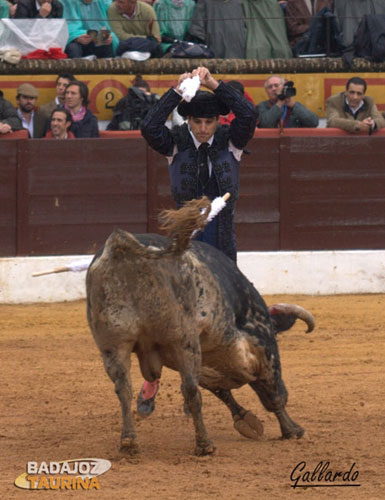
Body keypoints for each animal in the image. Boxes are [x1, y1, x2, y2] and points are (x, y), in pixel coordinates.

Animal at [87, 197, 316, 456]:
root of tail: (121, 246)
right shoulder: (262, 345)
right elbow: (272, 393)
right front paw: (292, 430)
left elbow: (220, 390)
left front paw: (245, 419)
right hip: (182, 340)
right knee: (190, 389)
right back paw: (204, 444)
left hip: (113, 345)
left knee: (123, 388)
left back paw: (129, 441)